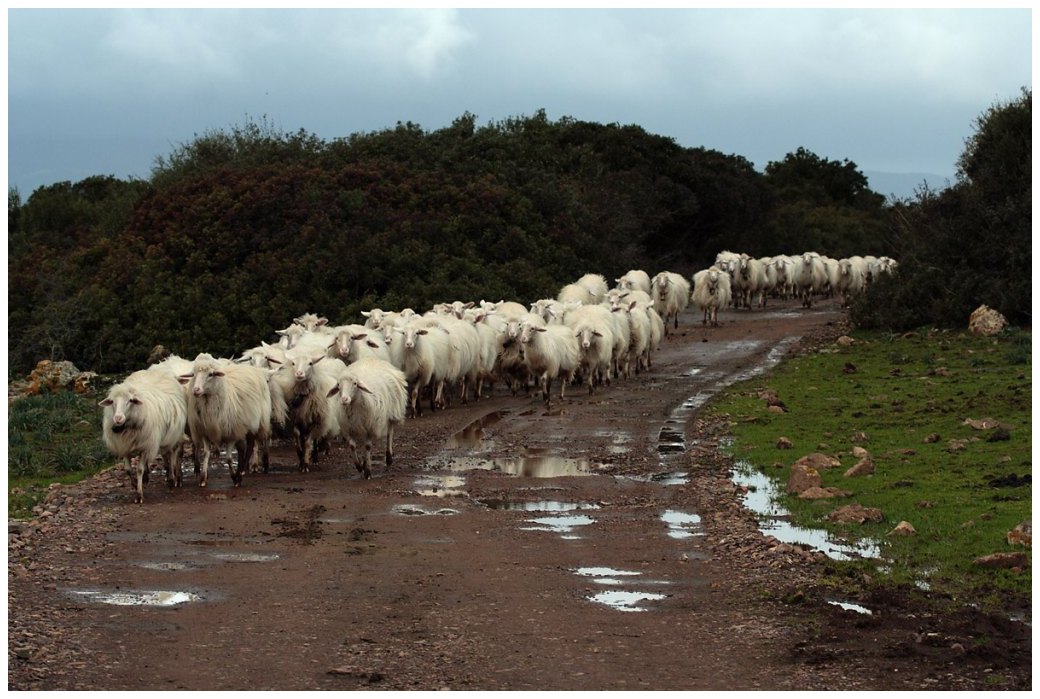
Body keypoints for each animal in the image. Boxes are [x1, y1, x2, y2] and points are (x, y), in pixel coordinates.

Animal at [100, 370, 188, 503]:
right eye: (113, 402)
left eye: (130, 400)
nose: (118, 418)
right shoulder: (125, 446)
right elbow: (128, 470)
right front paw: (135, 484)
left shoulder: (145, 447)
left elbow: (139, 469)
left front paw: (139, 494)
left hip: (172, 436)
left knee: (172, 454)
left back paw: (172, 480)